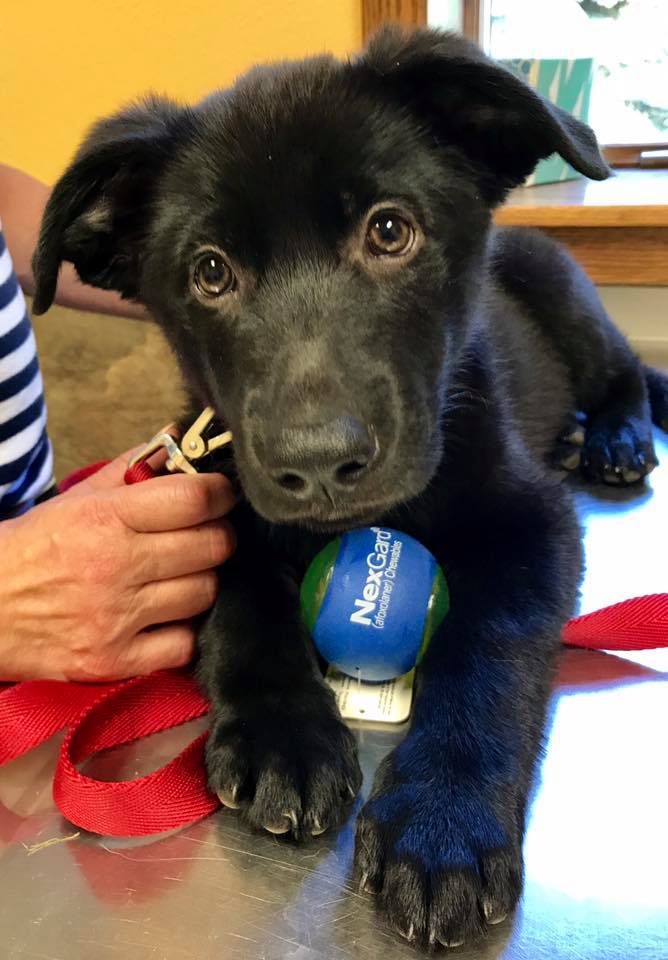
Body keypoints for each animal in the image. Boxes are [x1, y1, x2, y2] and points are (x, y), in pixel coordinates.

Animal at [32, 28, 668, 952]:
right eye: (210, 273)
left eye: (390, 230)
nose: (320, 465)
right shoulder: (213, 490)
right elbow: (238, 597)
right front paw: (282, 733)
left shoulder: (534, 520)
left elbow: (489, 642)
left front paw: (442, 816)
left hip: (567, 294)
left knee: (628, 377)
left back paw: (616, 437)